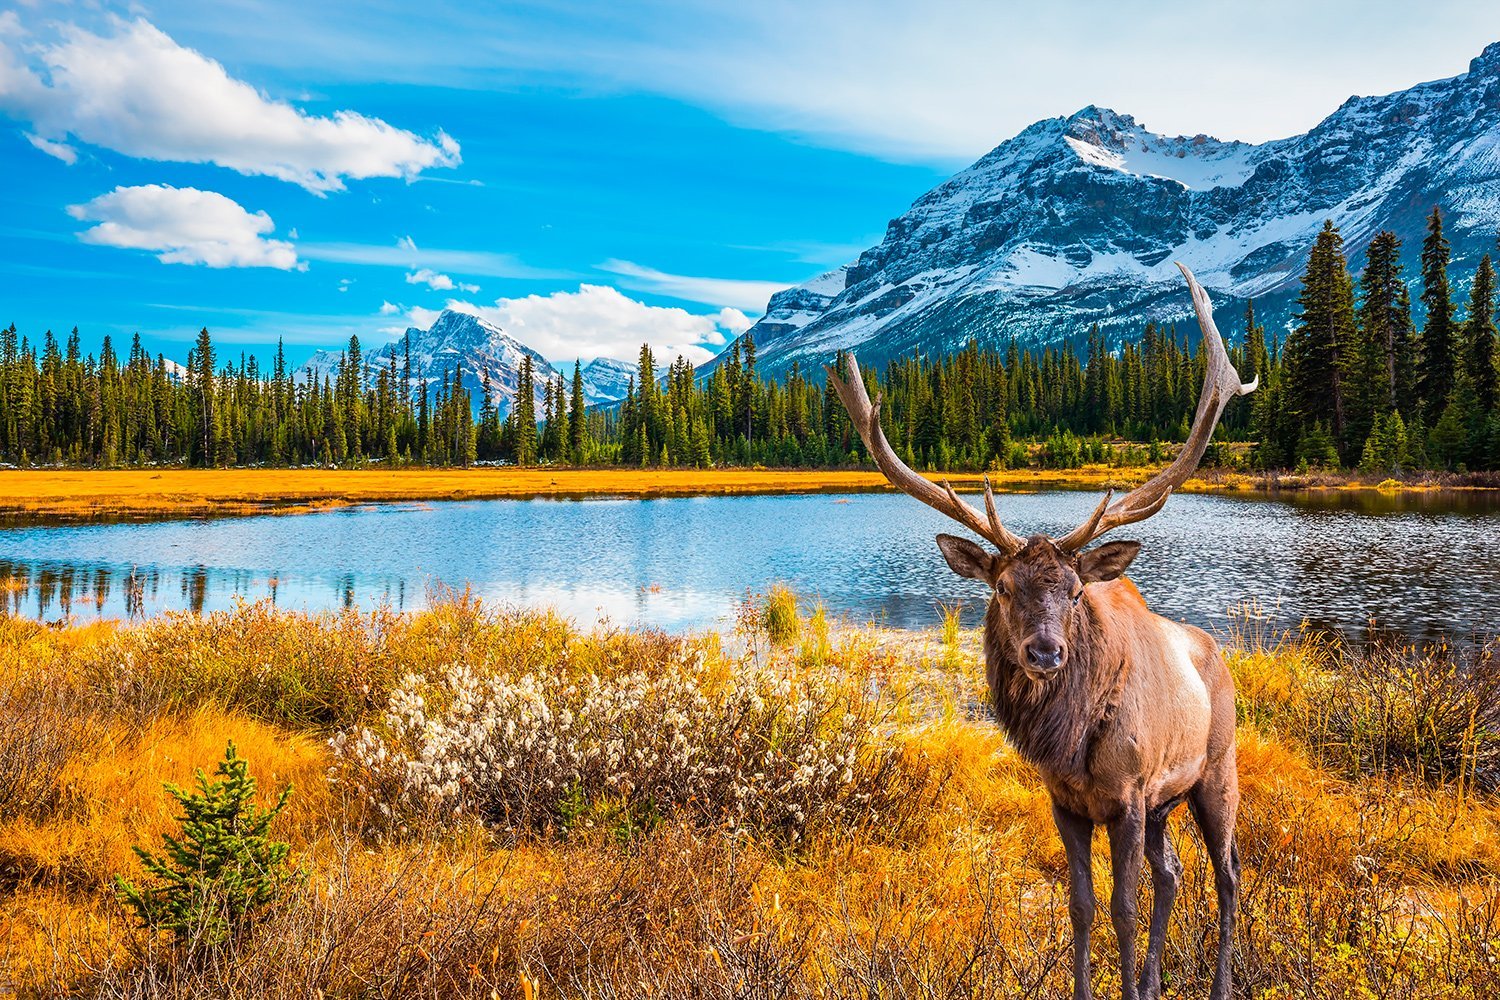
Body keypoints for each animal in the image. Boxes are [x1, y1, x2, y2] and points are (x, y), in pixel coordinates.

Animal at [828, 265, 1260, 1000]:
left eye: (1075, 591)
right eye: (1003, 589)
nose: (1045, 650)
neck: (1073, 742)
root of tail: (1216, 656)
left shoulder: (1130, 794)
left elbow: (1121, 908)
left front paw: (1127, 987)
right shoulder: (1067, 802)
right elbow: (1081, 906)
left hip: (1215, 770)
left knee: (1228, 876)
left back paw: (1221, 984)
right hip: (1168, 803)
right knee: (1174, 875)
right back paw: (1156, 979)